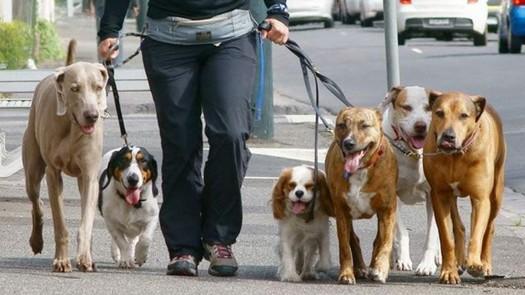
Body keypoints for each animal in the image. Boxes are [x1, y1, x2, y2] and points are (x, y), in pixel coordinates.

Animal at [22, 41, 107, 272]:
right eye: (74, 89)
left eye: (98, 87)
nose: (92, 116)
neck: (71, 125)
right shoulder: (53, 173)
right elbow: (60, 223)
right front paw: (61, 260)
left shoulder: (89, 175)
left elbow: (86, 222)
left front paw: (85, 257)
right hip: (32, 170)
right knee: (37, 204)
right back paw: (36, 241)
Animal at [326, 107, 396, 284]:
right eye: (342, 125)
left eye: (365, 125)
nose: (348, 143)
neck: (361, 169)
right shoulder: (341, 210)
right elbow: (344, 246)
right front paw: (346, 273)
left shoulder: (387, 209)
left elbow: (385, 241)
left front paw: (380, 268)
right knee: (352, 238)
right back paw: (359, 268)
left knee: (378, 240)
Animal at [378, 86, 440, 278]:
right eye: (406, 107)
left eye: (428, 108)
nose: (421, 126)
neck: (414, 153)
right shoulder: (391, 194)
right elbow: (401, 231)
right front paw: (403, 259)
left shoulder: (434, 194)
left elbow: (432, 234)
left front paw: (427, 265)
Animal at [424, 92, 506, 284]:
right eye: (439, 113)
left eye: (464, 115)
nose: (448, 136)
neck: (456, 155)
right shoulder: (439, 194)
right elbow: (446, 237)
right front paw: (448, 271)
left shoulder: (480, 198)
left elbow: (477, 232)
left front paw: (475, 264)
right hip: (451, 195)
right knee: (458, 225)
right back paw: (459, 261)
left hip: (497, 192)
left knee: (489, 228)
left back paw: (485, 264)